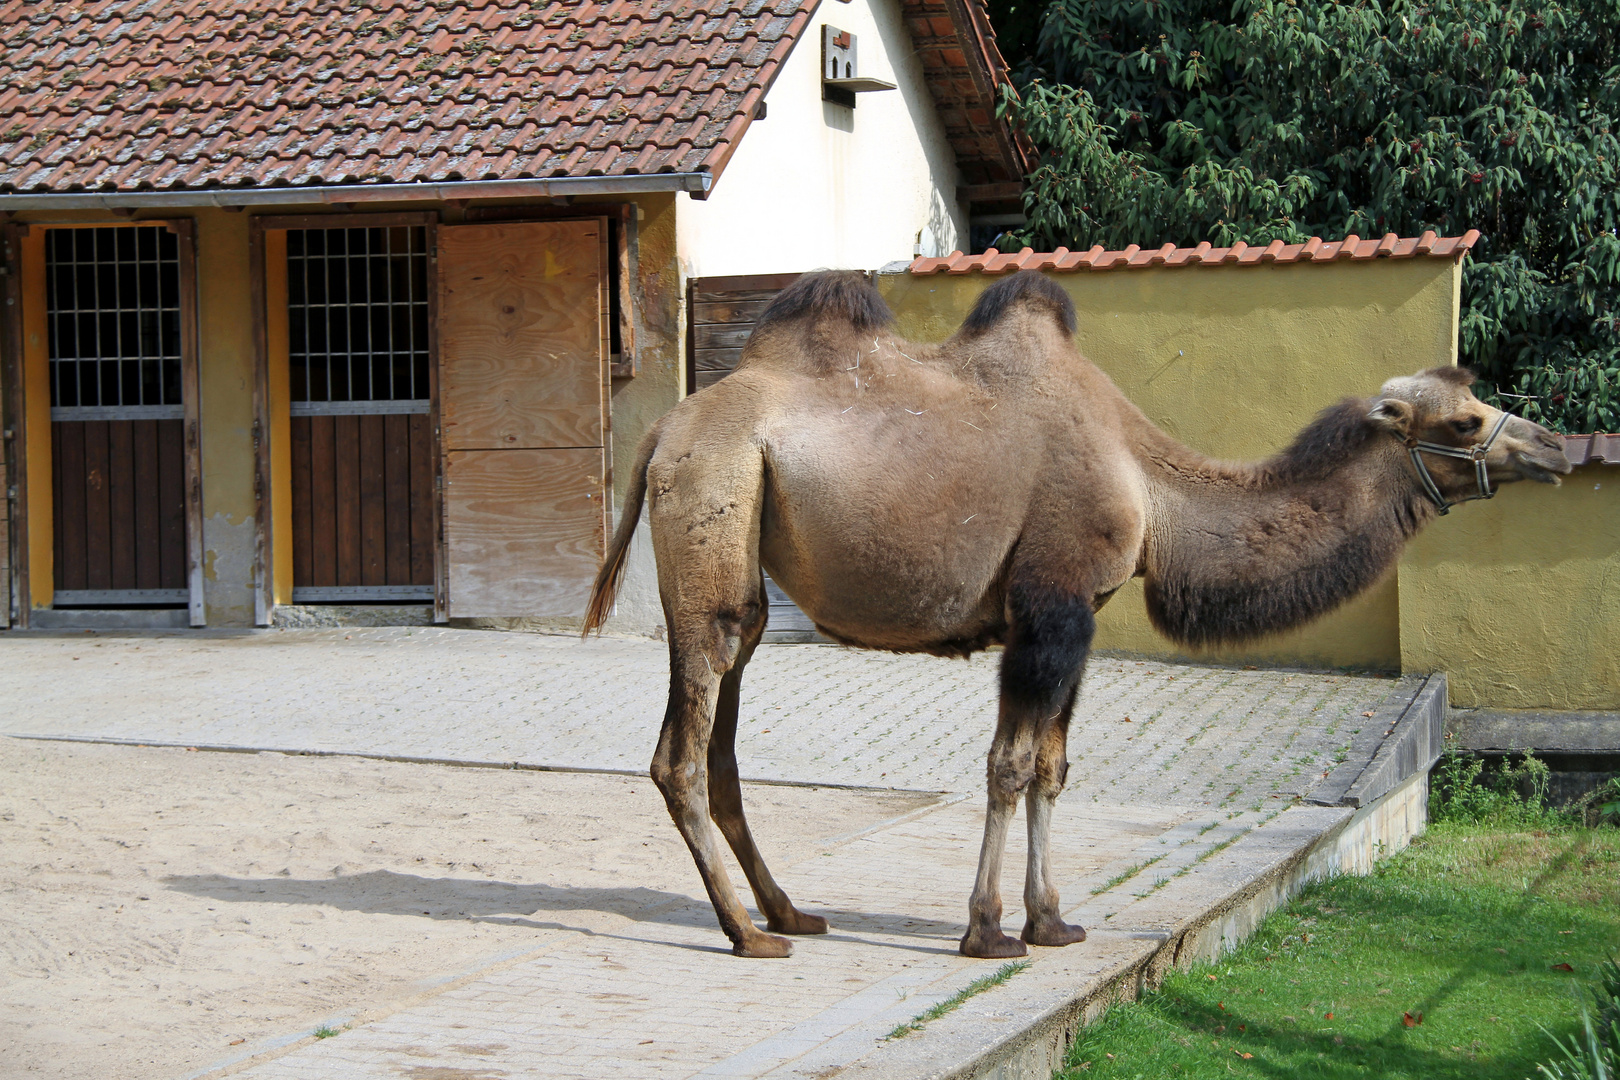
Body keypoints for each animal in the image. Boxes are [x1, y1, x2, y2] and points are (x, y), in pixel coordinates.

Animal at [583, 270, 1568, 965]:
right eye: (1467, 416)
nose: (1558, 447)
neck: (1153, 489)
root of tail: (664, 431)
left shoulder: (1083, 613)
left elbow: (1053, 770)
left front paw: (1053, 920)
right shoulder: (1050, 602)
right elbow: (1011, 765)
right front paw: (988, 931)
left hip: (742, 559)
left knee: (725, 731)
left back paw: (788, 912)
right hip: (712, 505)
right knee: (682, 744)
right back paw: (749, 934)